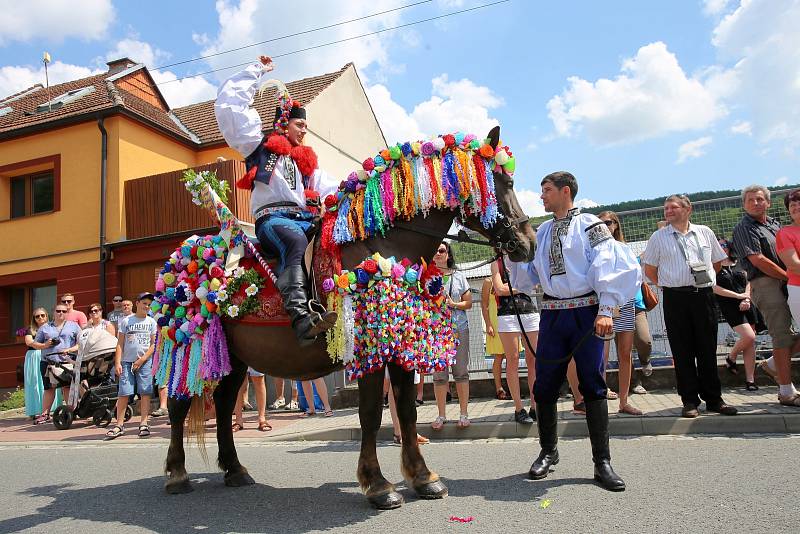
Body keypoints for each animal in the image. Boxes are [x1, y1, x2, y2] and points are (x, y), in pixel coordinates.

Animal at [164, 125, 536, 510]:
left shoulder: (398, 347)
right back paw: (178, 475)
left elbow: (406, 410)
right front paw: (378, 486)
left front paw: (422, 478)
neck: (384, 248)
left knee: (223, 406)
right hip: (185, 346)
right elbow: (371, 414)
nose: (528, 243)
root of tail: (185, 259)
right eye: (504, 182)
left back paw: (235, 470)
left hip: (236, 359)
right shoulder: (368, 352)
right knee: (178, 406)